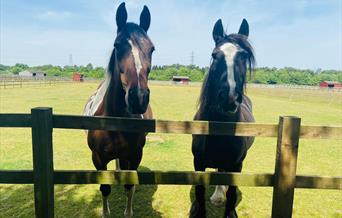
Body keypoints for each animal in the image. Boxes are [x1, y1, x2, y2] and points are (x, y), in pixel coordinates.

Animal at [83, 2, 154, 217]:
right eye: (117, 45)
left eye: (152, 49)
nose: (138, 97)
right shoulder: (97, 159)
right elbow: (105, 187)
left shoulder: (135, 155)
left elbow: (129, 186)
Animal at [191, 19, 255, 218]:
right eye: (215, 55)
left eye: (244, 56)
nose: (230, 98)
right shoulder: (198, 163)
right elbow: (199, 192)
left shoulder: (237, 165)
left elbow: (232, 193)